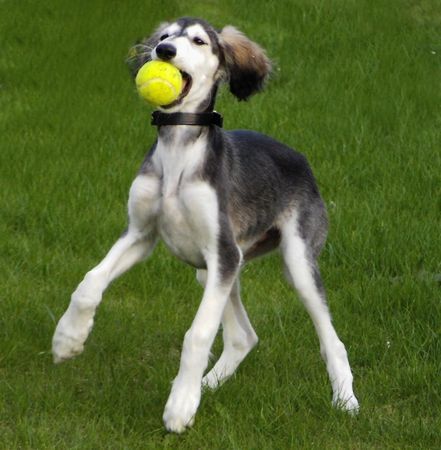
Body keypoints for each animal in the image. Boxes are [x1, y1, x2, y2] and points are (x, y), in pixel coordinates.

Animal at [53, 16, 360, 432]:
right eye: (166, 36)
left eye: (198, 41)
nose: (164, 51)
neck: (179, 152)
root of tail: (301, 158)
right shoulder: (140, 234)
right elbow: (89, 282)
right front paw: (68, 338)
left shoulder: (223, 254)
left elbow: (197, 335)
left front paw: (180, 404)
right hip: (214, 269)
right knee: (243, 336)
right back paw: (208, 383)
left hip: (294, 263)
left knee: (332, 340)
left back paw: (345, 400)